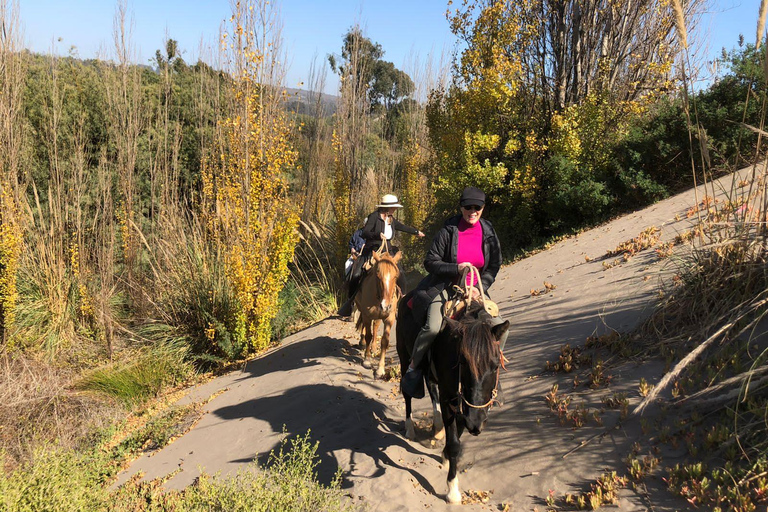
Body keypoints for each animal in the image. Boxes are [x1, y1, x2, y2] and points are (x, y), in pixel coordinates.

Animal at [354, 250, 402, 378]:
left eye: (396, 276)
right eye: (378, 275)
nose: (385, 306)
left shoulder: (389, 318)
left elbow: (384, 340)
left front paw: (380, 369)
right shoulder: (367, 315)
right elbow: (368, 335)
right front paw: (367, 360)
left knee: (375, 327)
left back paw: (374, 348)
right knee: (365, 327)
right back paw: (362, 342)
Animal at [396, 296, 510, 504]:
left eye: (496, 365)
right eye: (462, 362)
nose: (476, 423)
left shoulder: (465, 407)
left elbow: (460, 427)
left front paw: (445, 453)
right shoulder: (449, 397)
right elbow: (455, 444)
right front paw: (452, 490)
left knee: (431, 389)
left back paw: (437, 427)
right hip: (404, 357)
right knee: (408, 393)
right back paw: (410, 429)